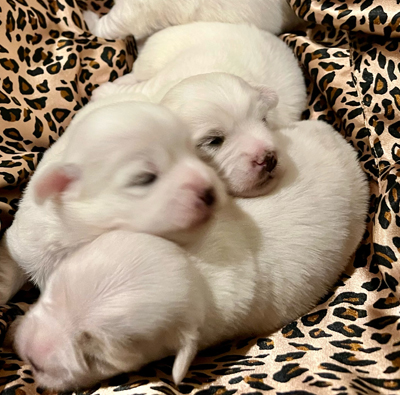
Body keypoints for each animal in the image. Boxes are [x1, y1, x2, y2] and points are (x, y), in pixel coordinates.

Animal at [93, 20, 306, 197]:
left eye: (264, 120)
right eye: (213, 141)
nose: (269, 159)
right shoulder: (155, 85)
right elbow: (137, 90)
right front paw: (102, 91)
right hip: (152, 58)